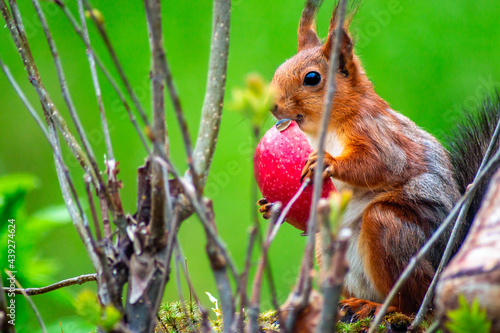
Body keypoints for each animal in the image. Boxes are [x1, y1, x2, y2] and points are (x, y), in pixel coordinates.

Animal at [258, 0, 500, 320]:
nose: (272, 106)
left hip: (392, 232)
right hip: (328, 244)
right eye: (278, 70)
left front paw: (327, 162)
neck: (327, 127)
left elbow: (381, 164)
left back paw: (373, 306)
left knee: (412, 303)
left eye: (312, 78)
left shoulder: (378, 135)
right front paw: (267, 206)